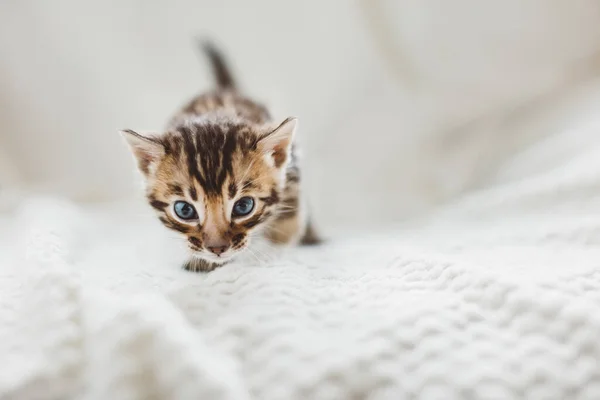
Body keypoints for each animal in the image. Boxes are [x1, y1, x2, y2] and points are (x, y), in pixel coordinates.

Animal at [119, 42, 322, 272]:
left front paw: (276, 248)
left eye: (244, 206)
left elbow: (288, 222)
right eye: (184, 210)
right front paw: (202, 262)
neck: (216, 113)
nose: (217, 249)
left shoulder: (292, 170)